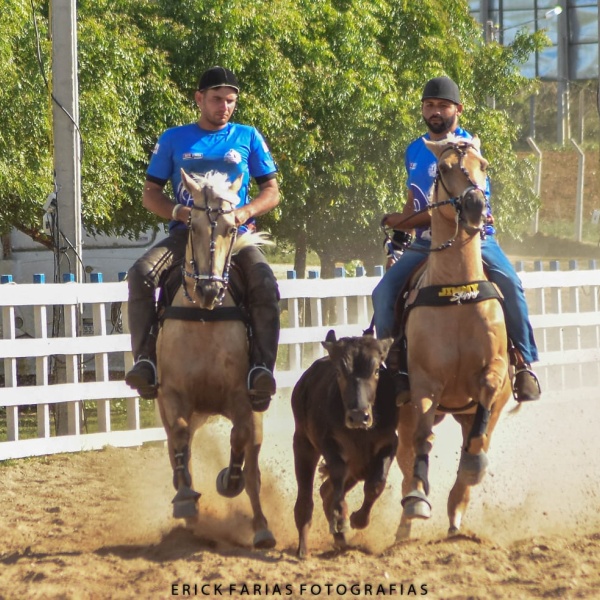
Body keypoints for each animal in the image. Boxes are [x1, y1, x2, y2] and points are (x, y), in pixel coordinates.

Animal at [155, 168, 276, 548]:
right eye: (192, 226)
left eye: (231, 228)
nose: (209, 289)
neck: (204, 319)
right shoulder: (172, 396)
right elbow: (179, 439)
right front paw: (184, 500)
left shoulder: (242, 399)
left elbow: (240, 441)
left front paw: (229, 480)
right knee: (178, 449)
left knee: (253, 464)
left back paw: (262, 526)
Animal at [396, 136, 512, 540]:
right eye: (444, 169)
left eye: (484, 165)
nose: (476, 205)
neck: (457, 291)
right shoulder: (425, 384)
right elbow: (422, 440)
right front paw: (417, 499)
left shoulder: (494, 370)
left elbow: (482, 415)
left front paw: (473, 467)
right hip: (405, 412)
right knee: (406, 455)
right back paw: (406, 519)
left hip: (476, 412)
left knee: (476, 438)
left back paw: (457, 515)